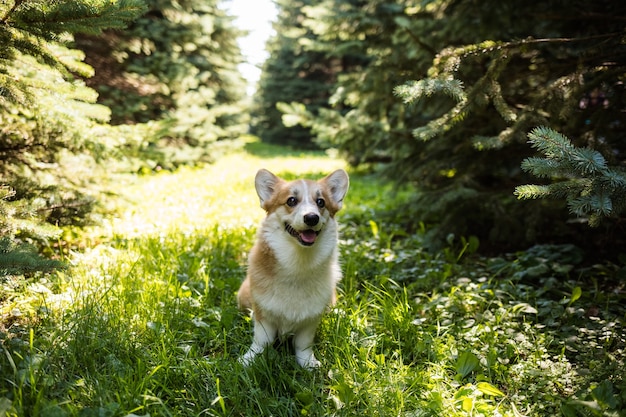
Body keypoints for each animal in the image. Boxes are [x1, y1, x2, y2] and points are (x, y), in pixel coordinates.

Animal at [236, 167, 348, 366]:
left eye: (321, 202)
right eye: (291, 201)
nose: (312, 218)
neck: (299, 262)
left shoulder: (310, 320)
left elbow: (303, 344)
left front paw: (308, 364)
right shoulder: (263, 315)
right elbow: (261, 340)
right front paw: (248, 360)